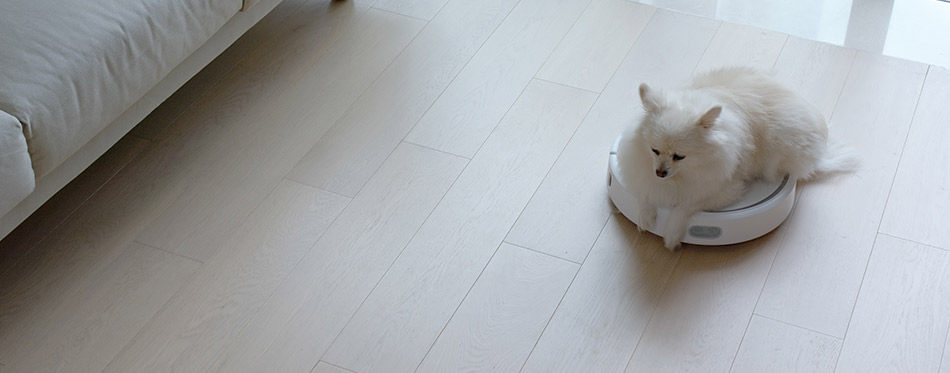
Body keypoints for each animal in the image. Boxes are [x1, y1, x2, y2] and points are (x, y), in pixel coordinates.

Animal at [620, 66, 860, 250]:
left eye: (679, 156)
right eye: (654, 150)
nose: (660, 172)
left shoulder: (724, 189)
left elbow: (685, 205)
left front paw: (671, 234)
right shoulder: (641, 170)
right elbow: (645, 188)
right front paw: (645, 215)